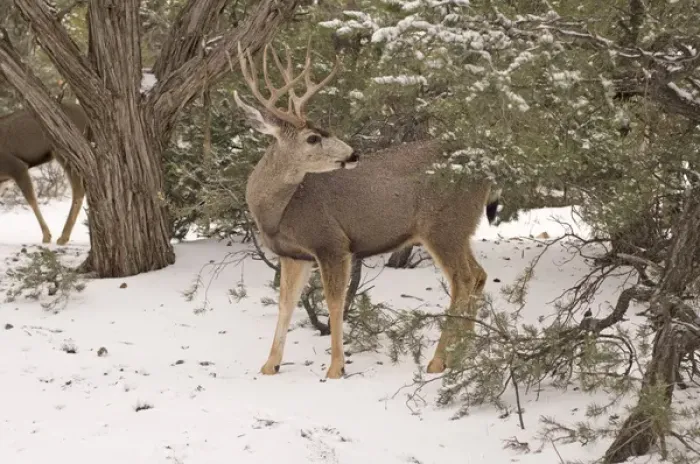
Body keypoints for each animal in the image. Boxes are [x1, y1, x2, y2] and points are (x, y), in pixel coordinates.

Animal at [0, 102, 88, 246]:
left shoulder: (16, 166)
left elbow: (32, 200)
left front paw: (47, 235)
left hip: (66, 153)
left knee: (79, 190)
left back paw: (64, 236)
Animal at [233, 41, 500, 379]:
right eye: (313, 137)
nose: (353, 154)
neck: (278, 212)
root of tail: (486, 170)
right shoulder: (294, 254)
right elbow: (286, 304)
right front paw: (270, 365)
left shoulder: (331, 242)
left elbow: (335, 302)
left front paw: (335, 367)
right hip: (461, 227)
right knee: (478, 275)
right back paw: (461, 356)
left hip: (443, 226)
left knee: (462, 281)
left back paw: (438, 361)